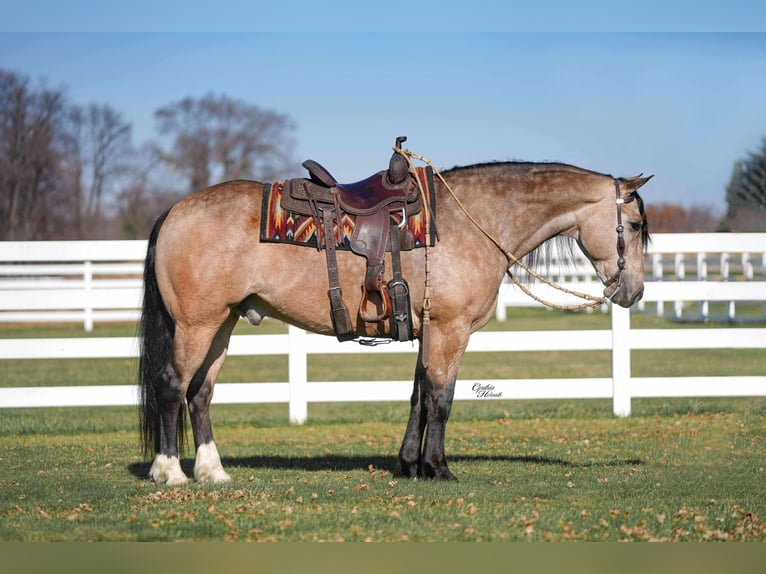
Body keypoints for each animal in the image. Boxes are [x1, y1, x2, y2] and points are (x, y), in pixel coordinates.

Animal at [138, 157, 652, 484]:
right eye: (636, 226)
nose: (633, 292)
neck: (473, 220)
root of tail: (174, 210)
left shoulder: (428, 331)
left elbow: (418, 398)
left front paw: (410, 464)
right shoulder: (450, 330)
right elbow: (441, 399)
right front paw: (439, 468)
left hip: (221, 324)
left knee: (201, 393)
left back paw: (212, 471)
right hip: (196, 325)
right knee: (171, 385)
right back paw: (169, 472)